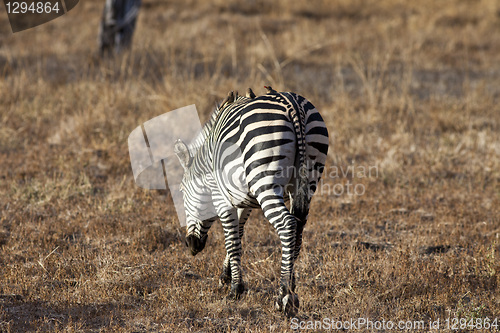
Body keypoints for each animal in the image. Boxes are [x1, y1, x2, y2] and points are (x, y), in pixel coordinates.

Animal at [174, 85, 330, 314]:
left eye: (182, 192)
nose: (190, 245)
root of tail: (292, 105)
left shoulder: (220, 197)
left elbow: (232, 241)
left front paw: (235, 289)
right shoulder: (242, 199)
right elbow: (238, 233)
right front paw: (226, 277)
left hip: (265, 180)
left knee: (287, 224)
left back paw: (284, 296)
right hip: (308, 178)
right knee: (299, 230)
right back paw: (292, 286)